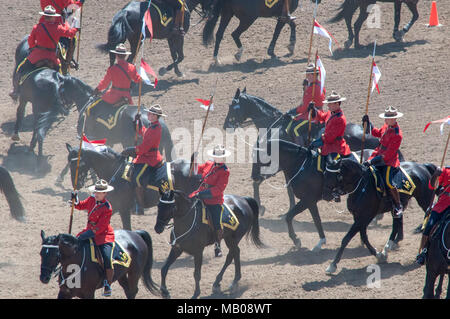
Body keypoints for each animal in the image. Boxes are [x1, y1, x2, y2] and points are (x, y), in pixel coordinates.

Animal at [222, 87, 404, 215]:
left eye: (232, 106)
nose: (225, 126)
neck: (276, 127)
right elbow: (287, 187)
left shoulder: (277, 166)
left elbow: (262, 183)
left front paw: (261, 206)